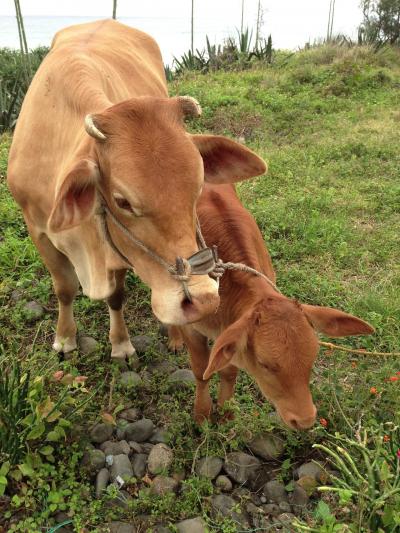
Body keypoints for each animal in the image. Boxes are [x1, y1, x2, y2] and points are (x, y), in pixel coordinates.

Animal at [5, 21, 266, 362]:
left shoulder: (116, 250)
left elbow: (116, 296)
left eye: (198, 189)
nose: (203, 301)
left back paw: (175, 337)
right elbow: (64, 288)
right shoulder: (38, 230)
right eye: (122, 202)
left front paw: (121, 344)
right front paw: (65, 339)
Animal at [170, 185, 376, 430]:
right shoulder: (192, 326)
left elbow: (229, 371)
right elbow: (202, 372)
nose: (304, 420)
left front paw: (227, 413)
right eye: (264, 364)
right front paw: (202, 415)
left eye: (313, 358)